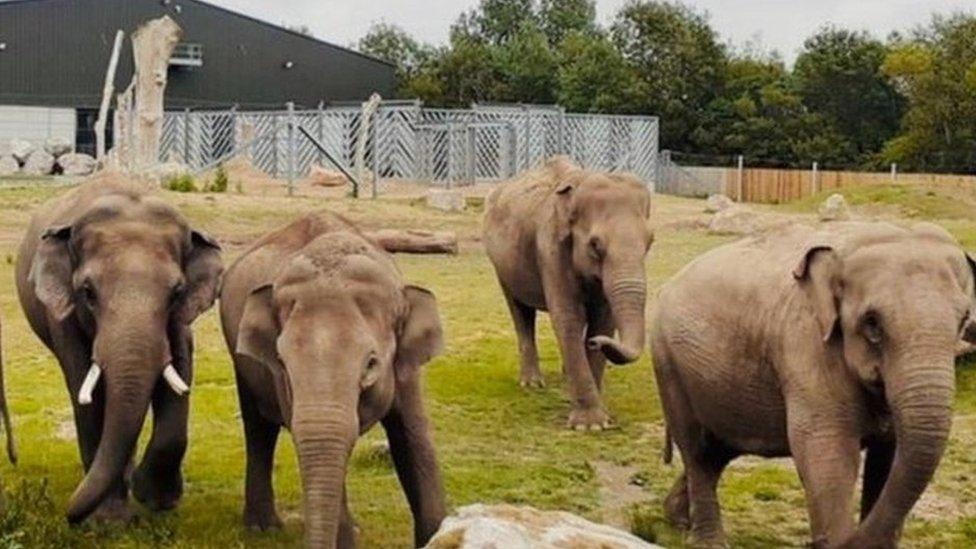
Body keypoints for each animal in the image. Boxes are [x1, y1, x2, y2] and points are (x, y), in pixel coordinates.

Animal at [14, 181, 221, 524]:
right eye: (87, 292)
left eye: (176, 293)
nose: (69, 516)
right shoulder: (63, 317)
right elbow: (87, 391)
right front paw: (108, 521)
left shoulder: (180, 320)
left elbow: (180, 369)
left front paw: (156, 499)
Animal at [219, 211, 448, 548]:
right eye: (282, 362)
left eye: (371, 363)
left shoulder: (406, 371)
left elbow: (413, 440)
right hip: (240, 359)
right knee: (258, 428)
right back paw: (263, 528)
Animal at [482, 156, 652, 430]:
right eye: (595, 245)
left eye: (650, 242)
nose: (595, 343)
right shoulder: (550, 247)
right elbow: (568, 317)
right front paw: (590, 425)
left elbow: (604, 320)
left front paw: (598, 416)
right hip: (501, 266)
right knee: (520, 312)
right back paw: (531, 384)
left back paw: (563, 377)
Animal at [648, 220, 976, 544]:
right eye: (872, 323)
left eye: (964, 320)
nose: (818, 541)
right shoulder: (807, 345)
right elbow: (827, 451)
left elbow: (889, 456)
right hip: (668, 362)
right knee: (696, 448)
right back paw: (706, 540)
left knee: (719, 448)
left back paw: (677, 518)